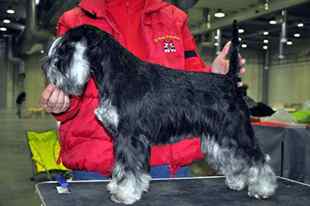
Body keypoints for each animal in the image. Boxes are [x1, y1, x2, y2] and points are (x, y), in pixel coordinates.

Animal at [42, 22, 278, 204]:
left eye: (66, 47)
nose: (47, 67)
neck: (116, 74)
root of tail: (230, 81)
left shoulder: (130, 137)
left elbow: (129, 168)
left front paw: (124, 194)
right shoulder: (120, 138)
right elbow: (121, 167)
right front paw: (118, 187)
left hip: (236, 131)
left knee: (257, 158)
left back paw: (263, 189)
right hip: (220, 137)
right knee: (233, 159)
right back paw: (237, 182)